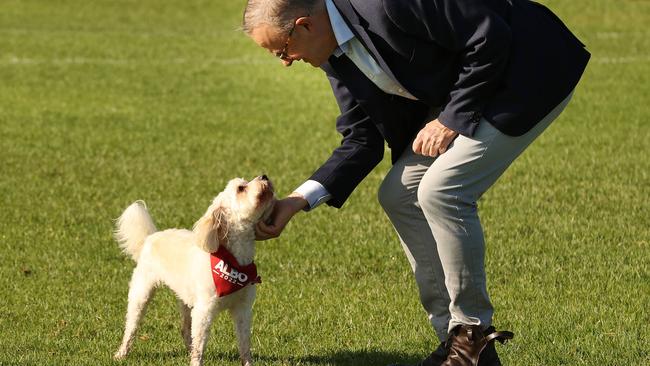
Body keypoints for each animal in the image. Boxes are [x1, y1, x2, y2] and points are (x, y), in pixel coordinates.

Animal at [113, 176, 274, 364]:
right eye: (241, 188)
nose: (264, 176)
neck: (233, 262)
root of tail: (150, 237)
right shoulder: (204, 311)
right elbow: (200, 345)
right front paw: (196, 362)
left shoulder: (243, 309)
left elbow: (244, 344)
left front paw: (248, 363)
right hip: (141, 292)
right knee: (131, 327)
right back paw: (121, 353)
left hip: (185, 298)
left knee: (185, 330)